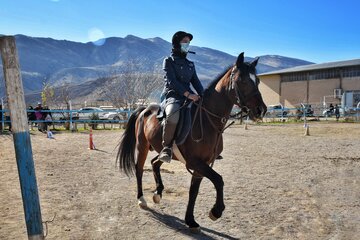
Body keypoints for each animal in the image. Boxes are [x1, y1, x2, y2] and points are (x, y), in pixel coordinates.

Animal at [116, 52, 266, 232]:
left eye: (257, 81)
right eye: (242, 80)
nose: (261, 110)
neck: (207, 120)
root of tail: (144, 109)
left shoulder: (203, 164)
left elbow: (194, 191)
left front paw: (190, 220)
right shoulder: (195, 162)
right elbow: (219, 180)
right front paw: (216, 211)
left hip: (162, 151)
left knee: (155, 163)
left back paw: (158, 193)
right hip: (142, 146)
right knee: (139, 169)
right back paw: (141, 199)